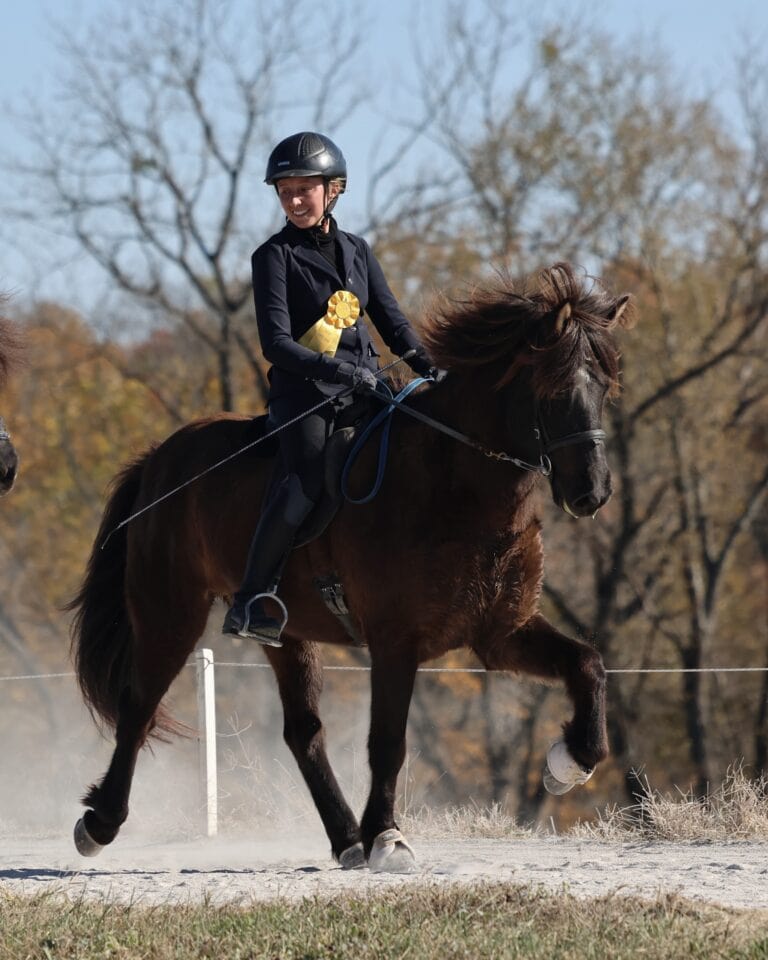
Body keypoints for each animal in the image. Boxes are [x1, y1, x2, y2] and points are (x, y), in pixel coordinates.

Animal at [69, 262, 633, 871]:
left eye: (604, 386)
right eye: (555, 389)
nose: (592, 492)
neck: (454, 484)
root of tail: (159, 459)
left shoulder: (502, 634)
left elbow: (588, 665)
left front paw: (568, 763)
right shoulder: (394, 641)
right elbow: (388, 742)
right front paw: (388, 835)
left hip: (285, 632)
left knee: (303, 731)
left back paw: (345, 838)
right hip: (169, 614)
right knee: (139, 706)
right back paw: (99, 823)